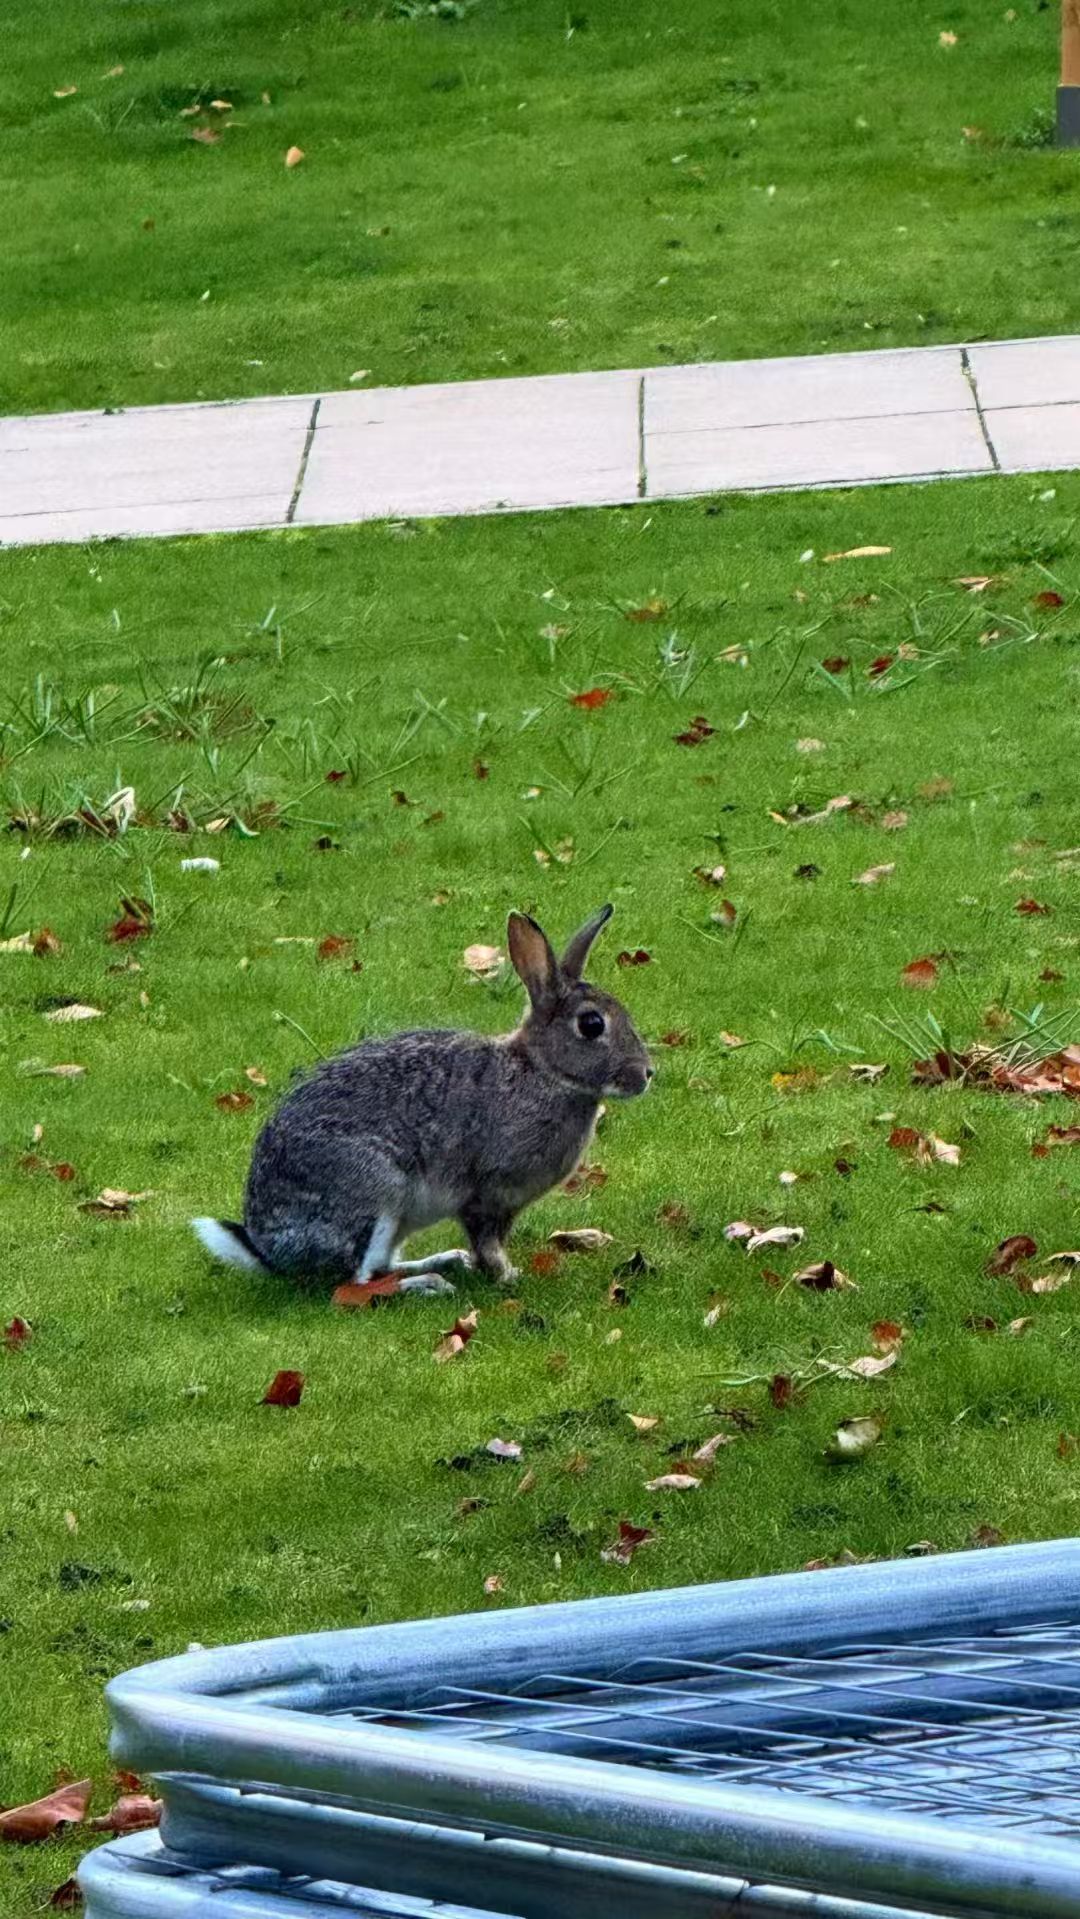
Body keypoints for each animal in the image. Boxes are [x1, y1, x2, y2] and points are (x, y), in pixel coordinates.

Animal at [191, 904, 652, 1292]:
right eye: (591, 1025)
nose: (646, 1074)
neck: (543, 1072)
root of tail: (270, 1251)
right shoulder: (487, 1194)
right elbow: (487, 1240)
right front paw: (506, 1276)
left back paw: (443, 1261)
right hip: (374, 1191)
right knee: (357, 1281)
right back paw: (427, 1284)